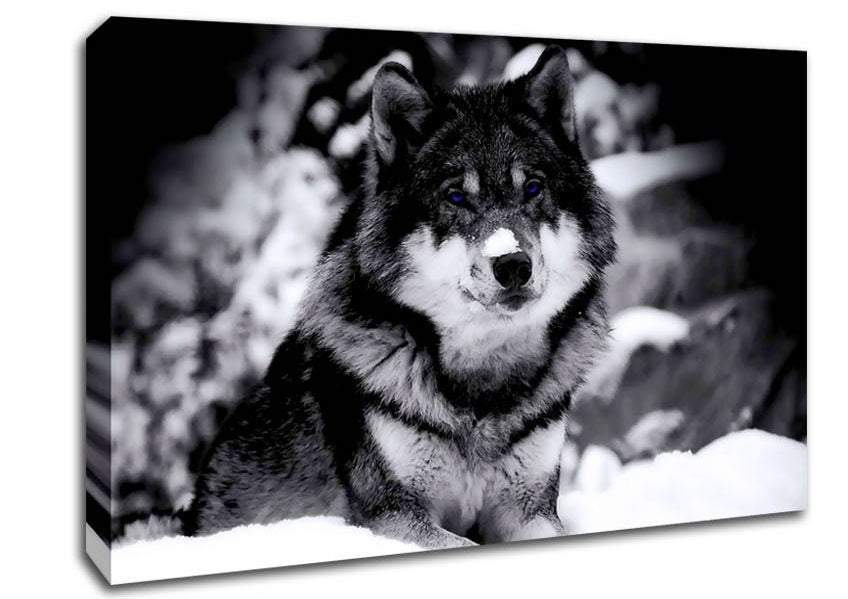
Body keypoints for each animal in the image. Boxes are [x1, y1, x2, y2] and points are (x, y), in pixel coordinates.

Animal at [186, 45, 616, 548]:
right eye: (455, 196)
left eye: (532, 188)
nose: (512, 264)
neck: (480, 391)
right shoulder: (391, 514)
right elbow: (461, 544)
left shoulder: (529, 508)